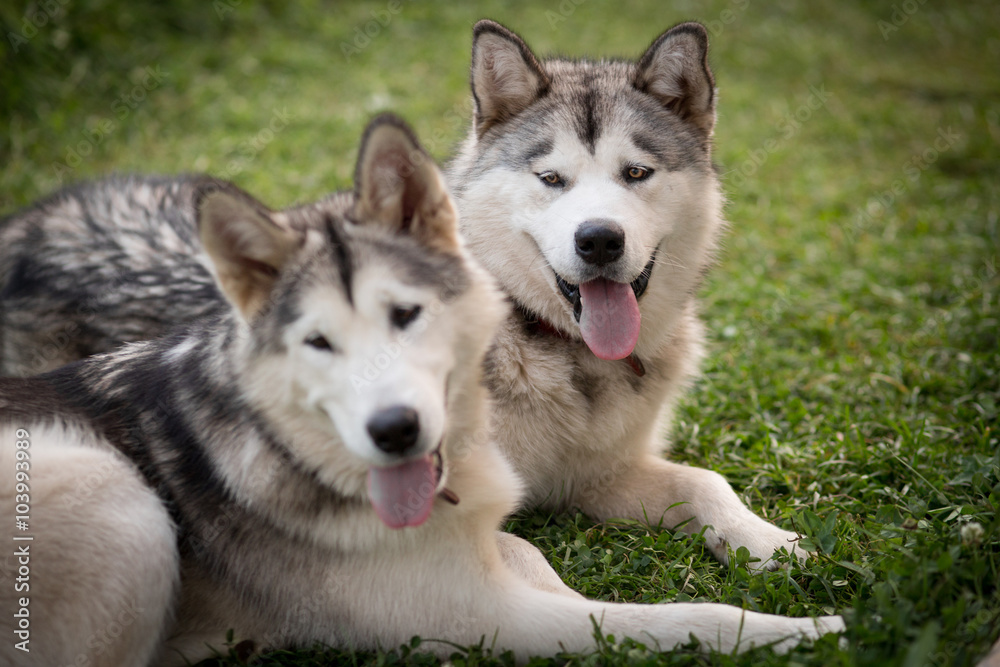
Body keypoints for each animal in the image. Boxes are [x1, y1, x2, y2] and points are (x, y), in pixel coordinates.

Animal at [0, 117, 844, 664]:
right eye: (318, 343)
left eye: (407, 315)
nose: (396, 429)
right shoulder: (482, 616)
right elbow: (674, 619)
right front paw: (808, 631)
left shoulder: (589, 481)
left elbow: (699, 484)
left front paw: (772, 545)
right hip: (121, 502)